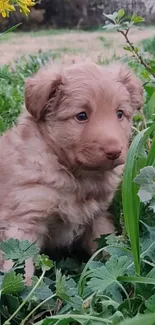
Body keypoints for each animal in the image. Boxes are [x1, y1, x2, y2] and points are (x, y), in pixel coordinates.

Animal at [0, 62, 143, 276]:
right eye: (81, 116)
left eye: (120, 114)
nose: (114, 151)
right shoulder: (23, 223)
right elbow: (19, 268)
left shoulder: (98, 217)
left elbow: (106, 249)